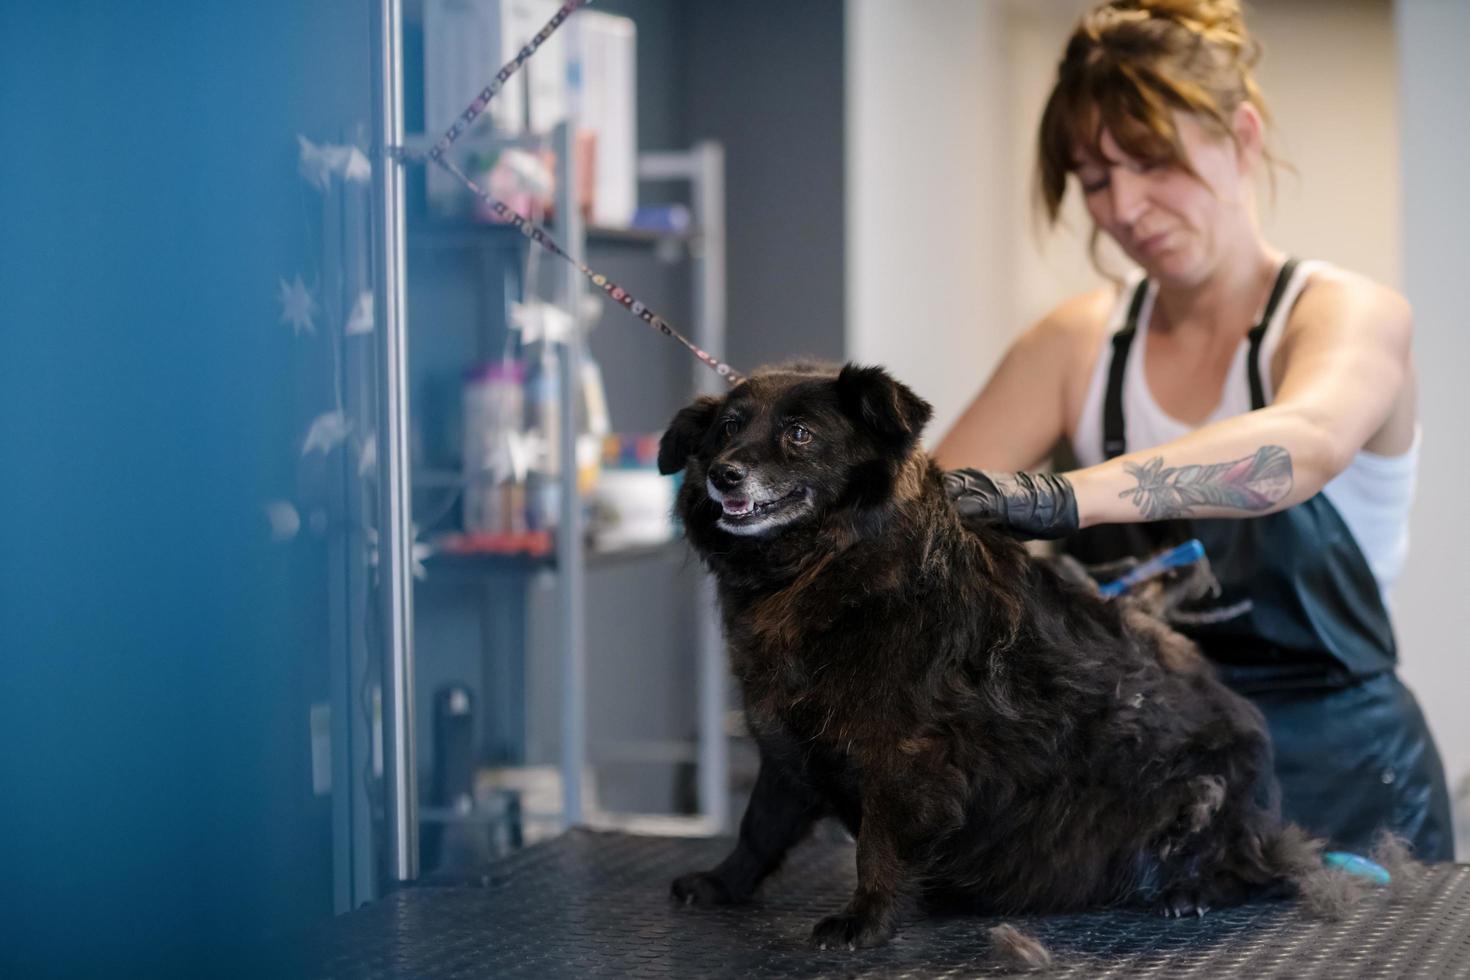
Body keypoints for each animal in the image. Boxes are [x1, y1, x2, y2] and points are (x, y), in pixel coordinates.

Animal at [658, 359, 1323, 952]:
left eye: (798, 433)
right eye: (726, 429)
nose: (724, 474)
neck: (824, 568)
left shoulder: (906, 755)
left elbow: (878, 845)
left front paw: (865, 920)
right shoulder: (788, 744)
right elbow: (759, 826)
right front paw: (723, 883)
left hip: (1204, 798)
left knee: (1268, 869)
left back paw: (1193, 890)